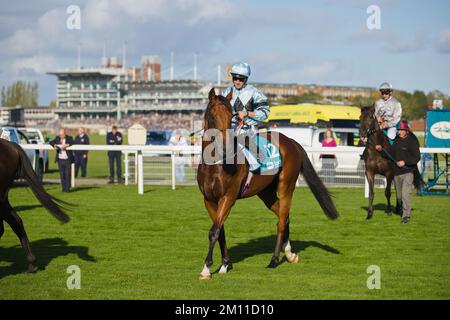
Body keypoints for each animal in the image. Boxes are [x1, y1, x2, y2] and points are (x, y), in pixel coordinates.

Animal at [195, 89, 340, 278]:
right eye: (212, 117)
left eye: (230, 116)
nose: (226, 147)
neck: (216, 165)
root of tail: (292, 142)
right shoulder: (209, 200)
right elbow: (220, 231)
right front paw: (225, 264)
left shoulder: (228, 197)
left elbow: (214, 231)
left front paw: (206, 268)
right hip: (266, 193)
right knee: (284, 216)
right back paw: (290, 254)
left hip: (286, 186)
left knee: (281, 220)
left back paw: (274, 260)